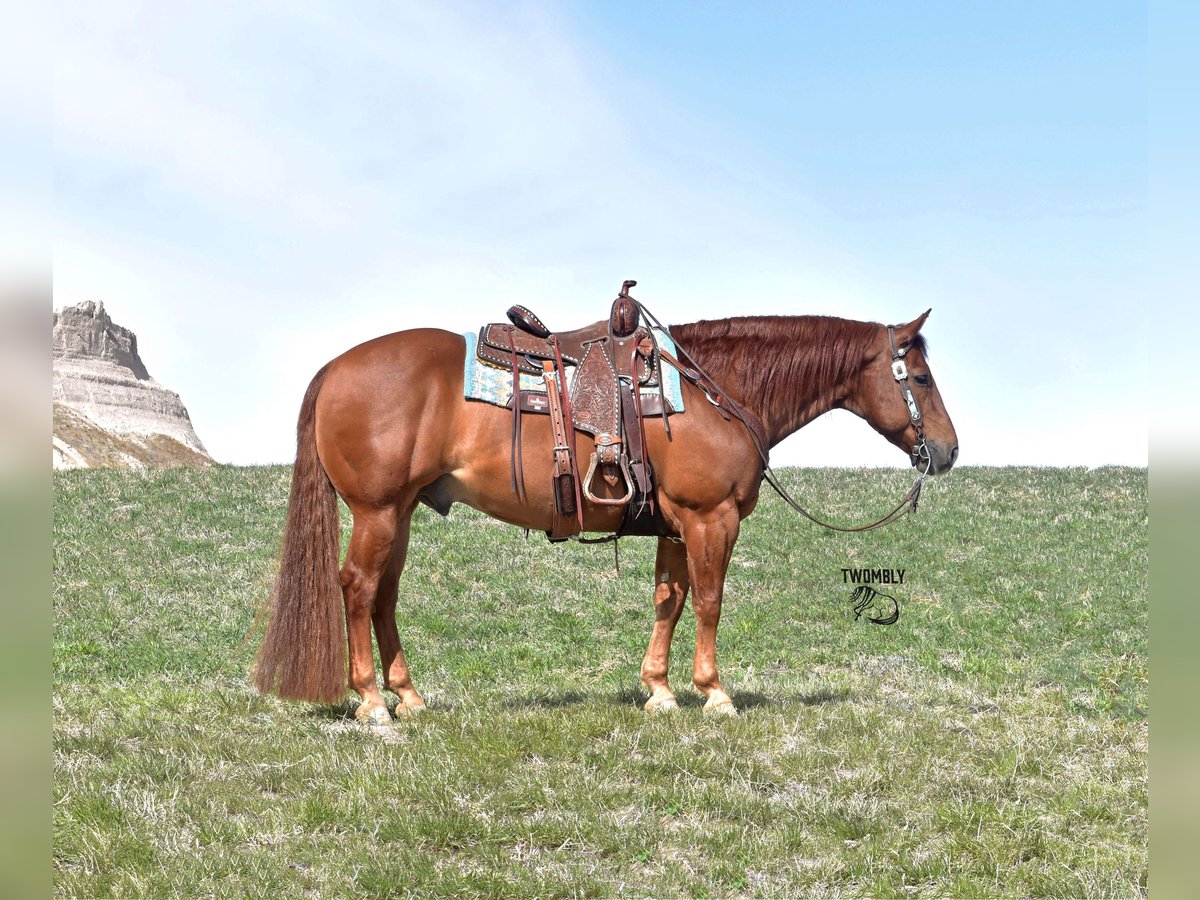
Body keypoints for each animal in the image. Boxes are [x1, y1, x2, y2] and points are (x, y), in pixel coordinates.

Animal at [253, 307, 955, 724]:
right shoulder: (711, 517)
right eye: (919, 378)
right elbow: (708, 601)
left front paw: (661, 690)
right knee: (359, 588)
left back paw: (408, 695)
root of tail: (334, 369)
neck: (713, 389)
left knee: (385, 595)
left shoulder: (676, 525)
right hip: (375, 512)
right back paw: (373, 703)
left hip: (397, 514)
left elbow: (669, 600)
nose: (947, 451)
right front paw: (714, 692)